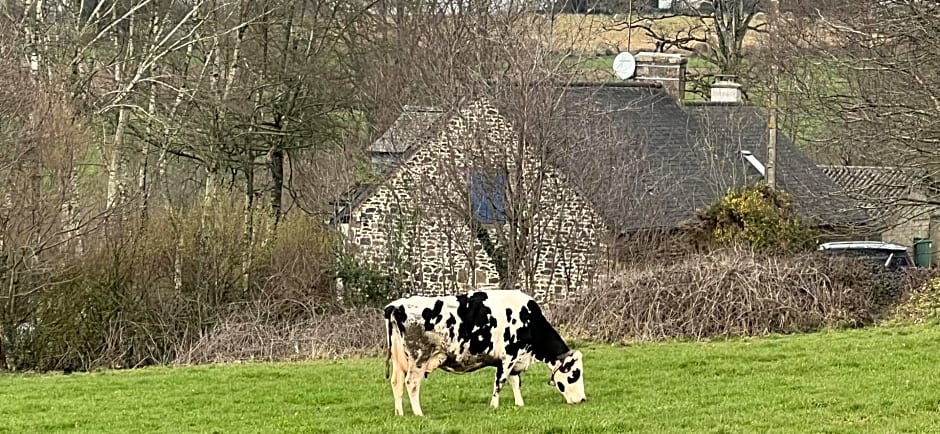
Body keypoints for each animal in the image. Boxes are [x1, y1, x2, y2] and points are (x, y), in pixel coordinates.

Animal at [382, 290, 588, 416]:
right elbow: (500, 382)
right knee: (411, 383)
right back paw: (418, 413)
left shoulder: (513, 359)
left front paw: (519, 404)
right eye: (575, 374)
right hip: (418, 357)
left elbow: (514, 381)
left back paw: (400, 413)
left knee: (396, 383)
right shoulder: (509, 355)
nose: (583, 400)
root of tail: (397, 305)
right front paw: (494, 406)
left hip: (400, 360)